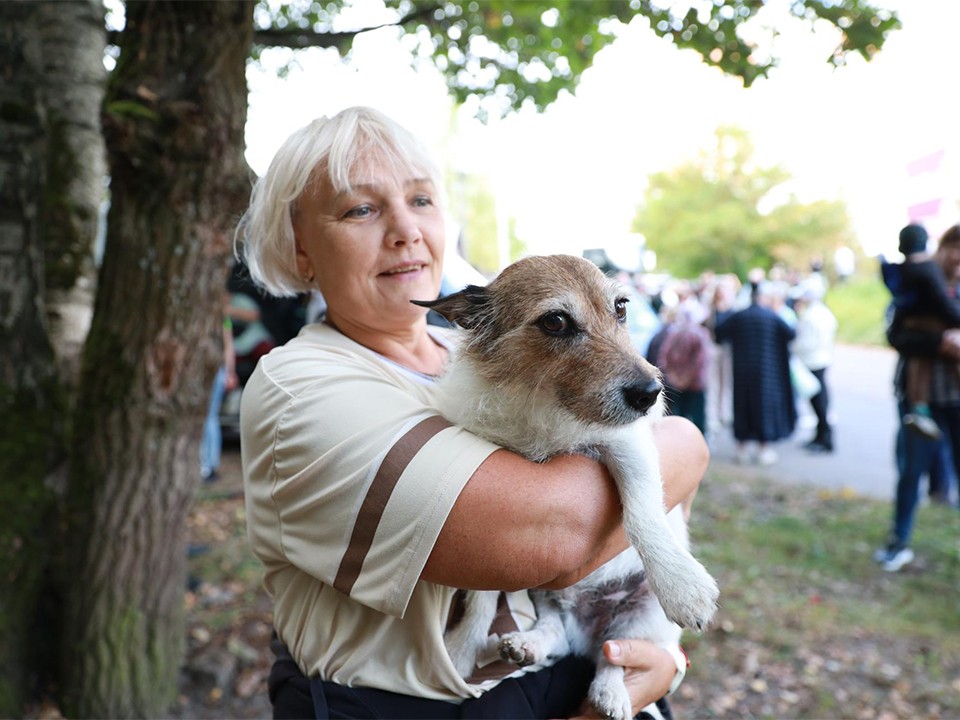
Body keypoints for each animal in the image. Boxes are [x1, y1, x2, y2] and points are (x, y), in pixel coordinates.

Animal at [412, 256, 720, 716]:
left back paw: (610, 693)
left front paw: (683, 587)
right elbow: (482, 596)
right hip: (545, 595)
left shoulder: (629, 446)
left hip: (642, 616)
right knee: (557, 634)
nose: (651, 392)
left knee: (615, 655)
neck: (546, 408)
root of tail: (586, 631)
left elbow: (642, 514)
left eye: (622, 308)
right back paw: (528, 644)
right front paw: (463, 647)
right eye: (555, 321)